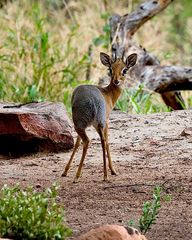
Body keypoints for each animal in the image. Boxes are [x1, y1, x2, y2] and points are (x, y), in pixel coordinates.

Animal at [61, 51, 136, 182]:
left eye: (125, 70)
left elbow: (77, 143)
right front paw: (113, 170)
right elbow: (105, 142)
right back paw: (102, 175)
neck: (108, 94)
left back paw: (81, 175)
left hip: (84, 125)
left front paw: (65, 171)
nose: (116, 81)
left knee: (90, 141)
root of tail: (94, 102)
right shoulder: (105, 121)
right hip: (94, 124)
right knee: (100, 141)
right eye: (110, 69)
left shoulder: (103, 122)